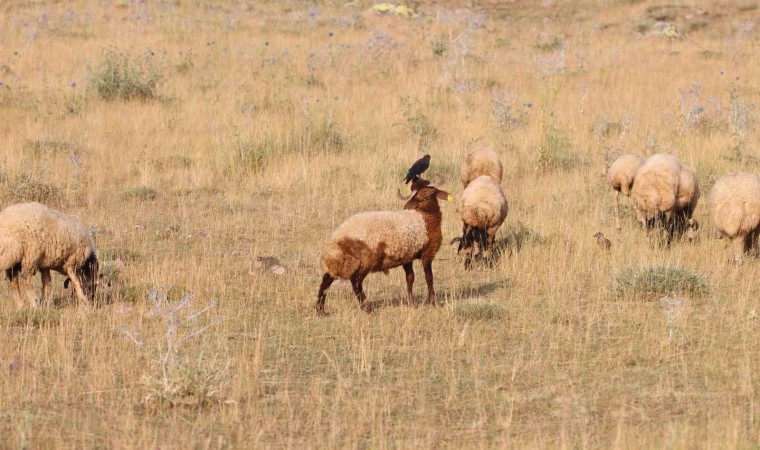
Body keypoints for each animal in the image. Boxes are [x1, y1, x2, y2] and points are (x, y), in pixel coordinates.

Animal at [316, 178, 452, 314]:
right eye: (419, 196)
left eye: (432, 193)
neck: (424, 216)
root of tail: (337, 238)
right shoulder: (428, 252)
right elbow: (429, 277)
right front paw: (434, 303)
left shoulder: (407, 255)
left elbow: (410, 278)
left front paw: (411, 305)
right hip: (365, 260)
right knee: (356, 282)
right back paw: (367, 308)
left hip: (342, 262)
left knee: (327, 279)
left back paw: (320, 310)